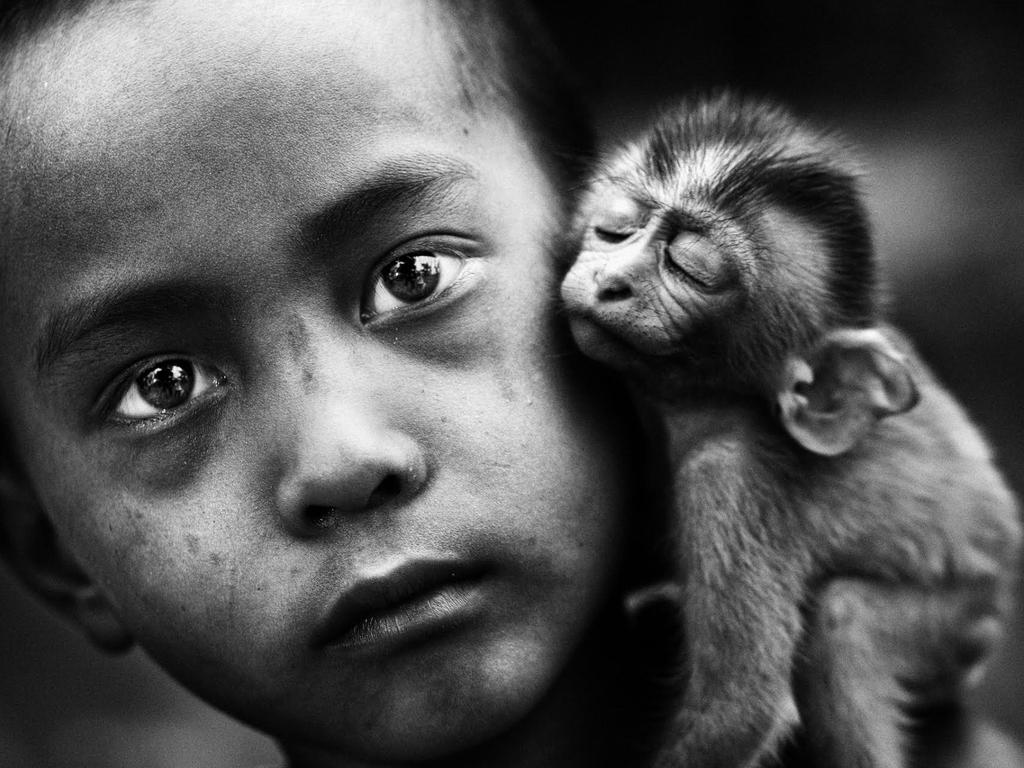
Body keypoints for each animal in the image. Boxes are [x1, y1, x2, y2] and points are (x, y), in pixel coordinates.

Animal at [565, 94, 1019, 768]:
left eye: (690, 268)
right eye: (616, 227)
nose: (610, 282)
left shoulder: (731, 477)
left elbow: (740, 709)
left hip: (960, 620)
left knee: (844, 623)